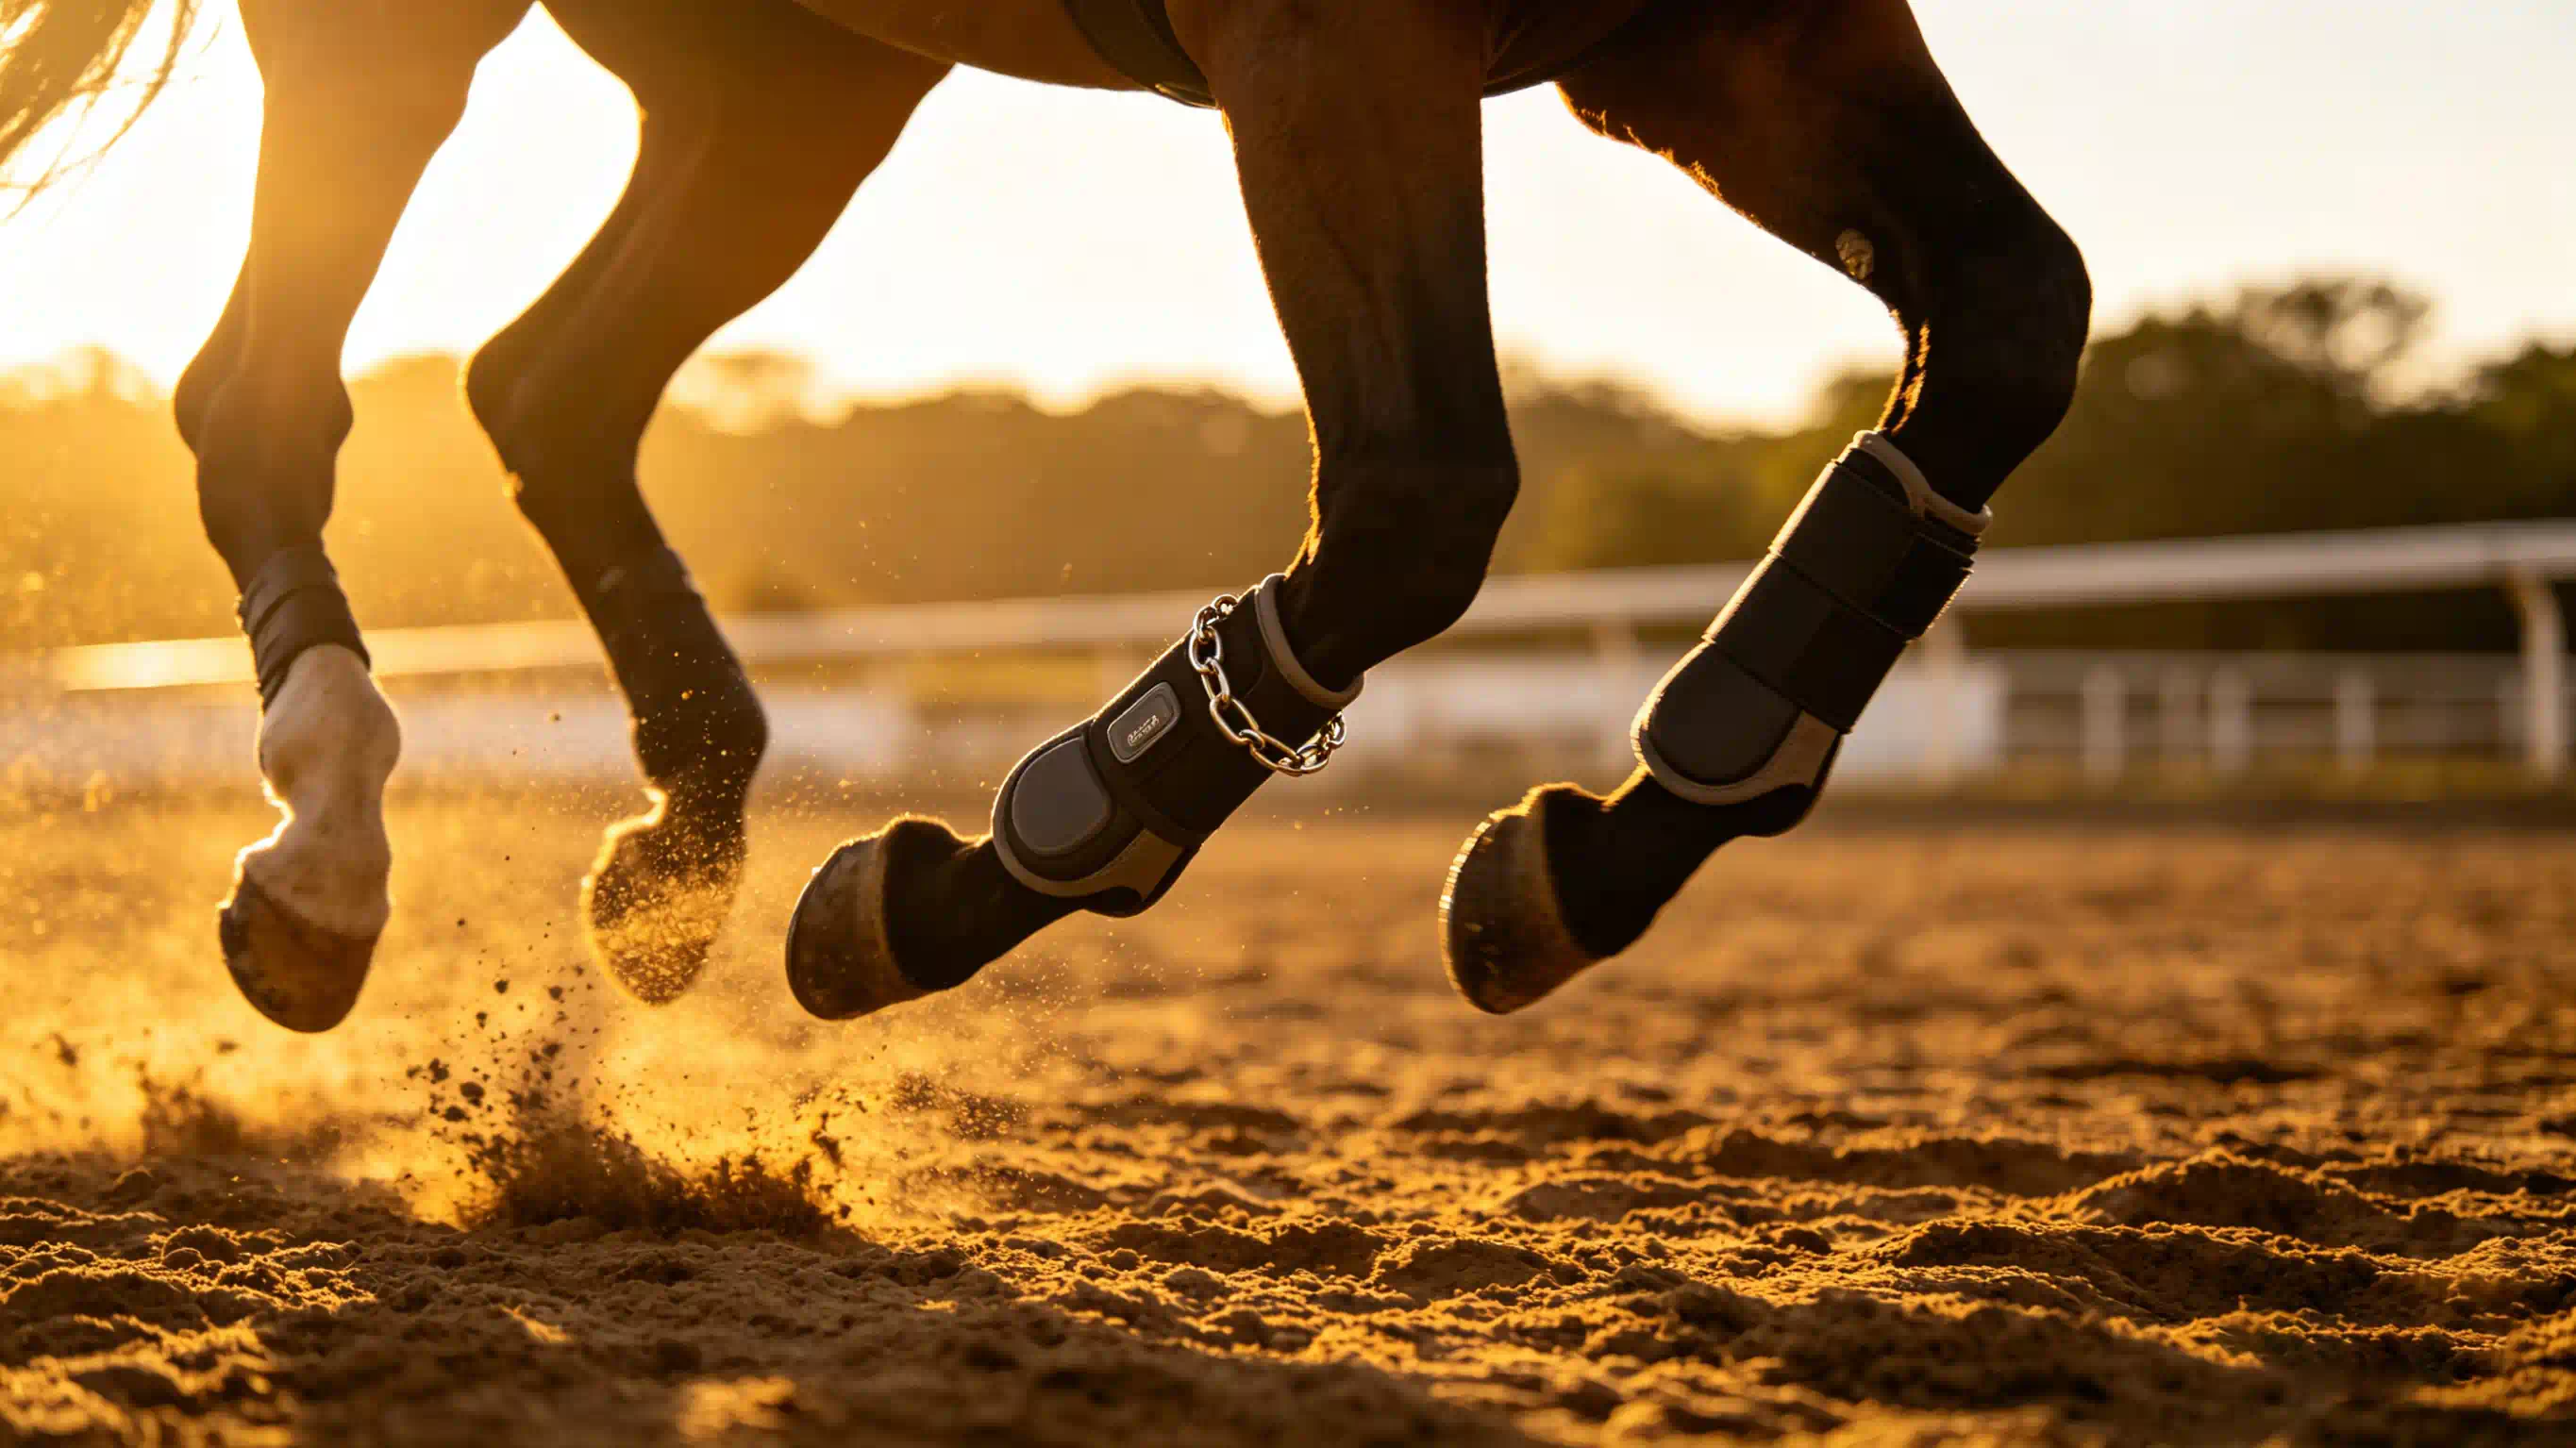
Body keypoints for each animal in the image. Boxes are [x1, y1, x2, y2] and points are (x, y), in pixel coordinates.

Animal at [0, 0, 2088, 1032]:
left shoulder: (1742, 28)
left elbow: (2010, 330)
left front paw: (1591, 851)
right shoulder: (1337, 37)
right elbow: (1420, 500)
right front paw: (963, 884)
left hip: (799, 82)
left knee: (542, 384)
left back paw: (684, 829)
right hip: (414, 26)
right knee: (262, 399)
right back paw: (325, 849)